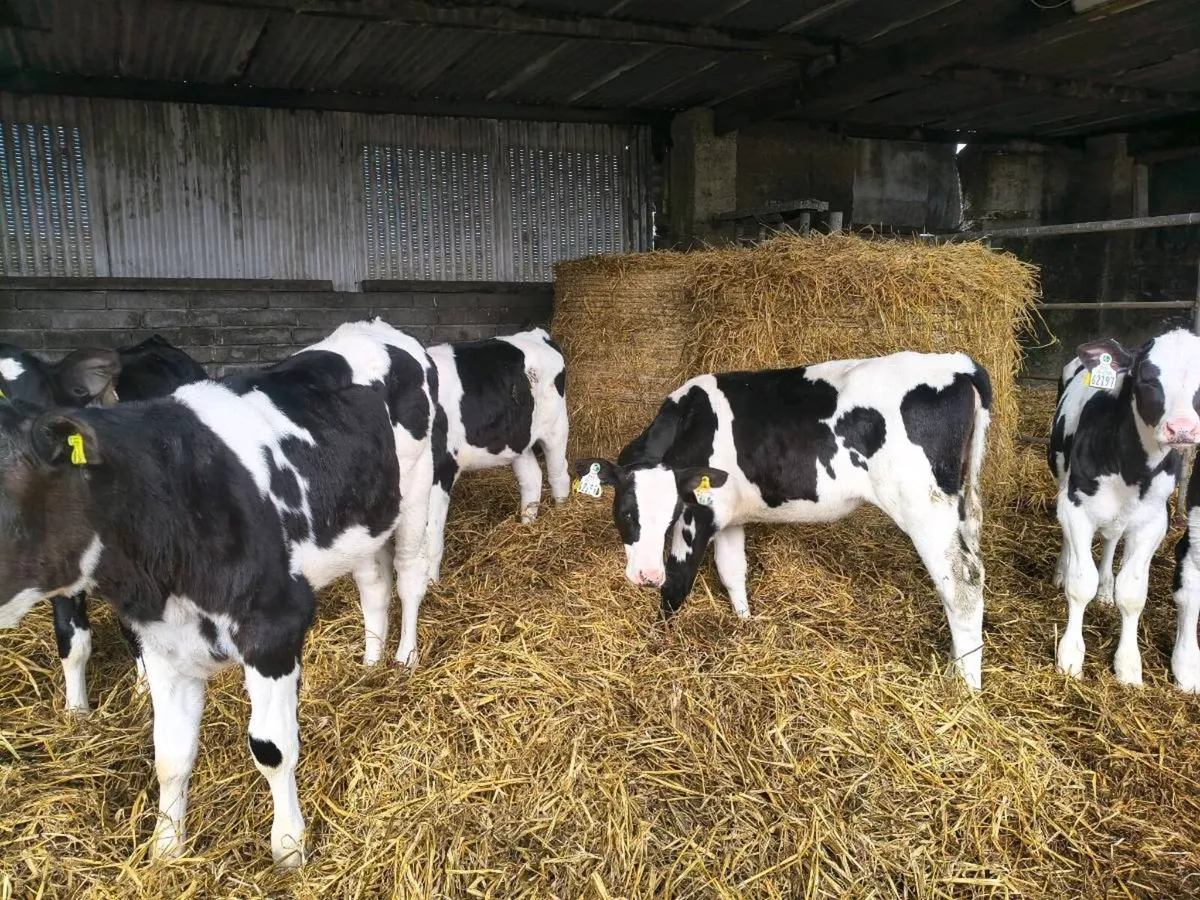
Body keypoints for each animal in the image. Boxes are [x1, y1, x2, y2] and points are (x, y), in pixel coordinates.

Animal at [422, 328, 570, 582]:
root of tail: (537, 334)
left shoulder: (439, 472)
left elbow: (431, 538)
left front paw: (430, 584)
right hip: (518, 440)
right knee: (532, 478)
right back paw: (526, 525)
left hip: (556, 428)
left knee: (559, 476)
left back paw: (560, 517)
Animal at [576, 351, 991, 689]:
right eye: (626, 511)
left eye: (673, 513)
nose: (645, 575)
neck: (690, 423)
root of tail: (957, 363)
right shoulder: (729, 516)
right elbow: (733, 572)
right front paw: (745, 625)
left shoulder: (699, 516)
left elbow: (677, 584)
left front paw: (656, 643)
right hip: (961, 504)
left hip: (924, 505)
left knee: (962, 585)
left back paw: (966, 687)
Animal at [1049, 328, 1200, 686]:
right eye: (1147, 377)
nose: (1183, 429)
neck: (1132, 469)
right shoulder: (1076, 508)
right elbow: (1081, 582)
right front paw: (1070, 656)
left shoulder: (1154, 522)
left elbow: (1131, 594)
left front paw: (1128, 665)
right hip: (1063, 480)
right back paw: (1062, 571)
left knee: (1110, 540)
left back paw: (1105, 589)